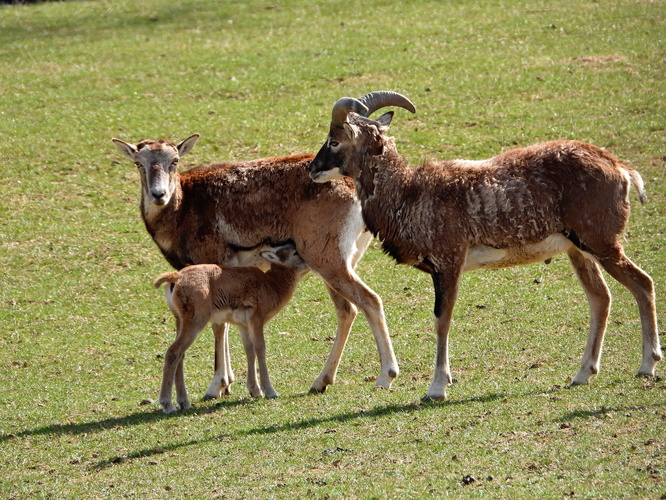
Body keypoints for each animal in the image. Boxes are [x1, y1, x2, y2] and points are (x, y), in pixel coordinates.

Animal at [154, 244, 308, 412]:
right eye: (295, 252)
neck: (271, 283)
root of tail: (176, 276)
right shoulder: (256, 320)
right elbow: (260, 348)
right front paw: (270, 391)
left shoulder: (244, 326)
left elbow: (249, 351)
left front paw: (255, 391)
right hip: (195, 323)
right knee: (173, 353)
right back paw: (168, 405)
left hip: (181, 323)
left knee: (180, 356)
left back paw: (184, 403)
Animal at [308, 91, 660, 402]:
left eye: (335, 140)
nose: (313, 169)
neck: (410, 193)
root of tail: (620, 168)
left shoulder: (449, 263)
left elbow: (442, 320)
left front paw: (436, 389)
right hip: (579, 252)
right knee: (601, 298)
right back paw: (583, 373)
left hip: (603, 244)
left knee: (642, 284)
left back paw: (647, 365)